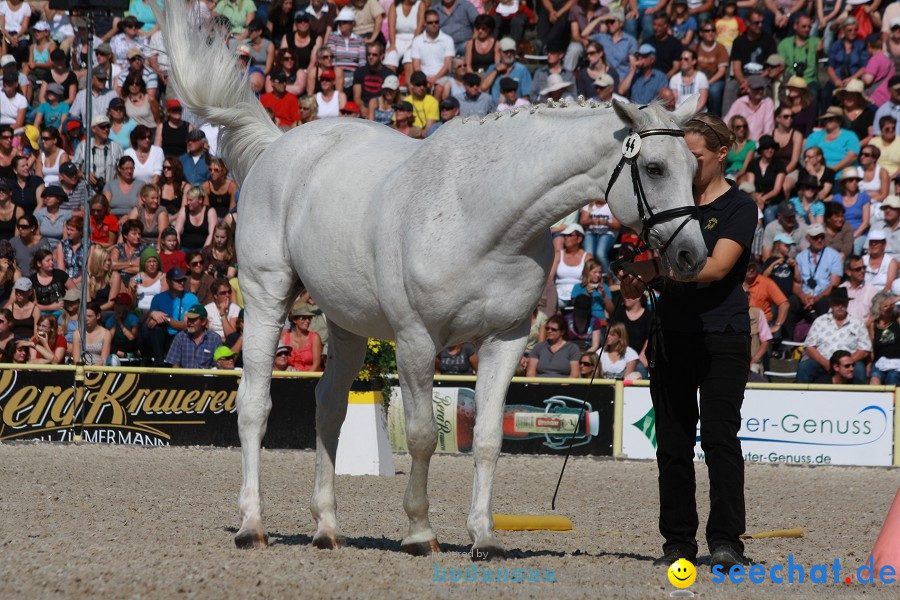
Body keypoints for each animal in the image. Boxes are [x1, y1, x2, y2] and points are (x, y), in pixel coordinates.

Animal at [156, 0, 712, 560]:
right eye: (656, 167)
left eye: (695, 167)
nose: (692, 254)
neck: (482, 215)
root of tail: (280, 145)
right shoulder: (416, 341)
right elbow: (423, 434)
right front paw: (421, 531)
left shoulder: (506, 340)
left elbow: (487, 438)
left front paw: (483, 535)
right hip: (267, 295)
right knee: (254, 406)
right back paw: (252, 524)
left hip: (346, 324)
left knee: (329, 409)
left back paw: (327, 527)